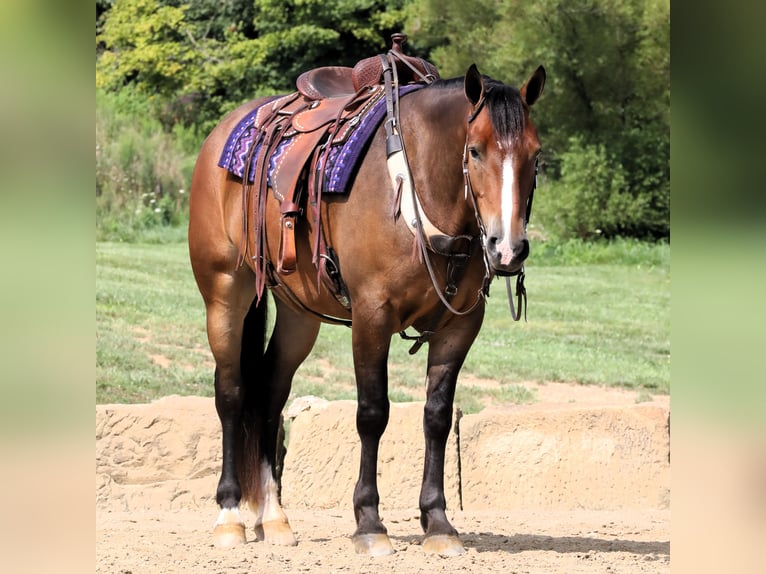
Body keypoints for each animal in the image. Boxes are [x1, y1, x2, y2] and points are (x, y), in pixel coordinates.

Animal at [188, 59, 544, 560]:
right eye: (474, 151)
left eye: (536, 155)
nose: (508, 248)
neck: (417, 188)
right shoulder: (372, 318)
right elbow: (373, 414)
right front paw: (370, 522)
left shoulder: (459, 327)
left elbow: (437, 416)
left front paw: (437, 521)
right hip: (224, 293)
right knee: (232, 393)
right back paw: (230, 516)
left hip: (299, 315)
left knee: (271, 393)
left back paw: (275, 518)